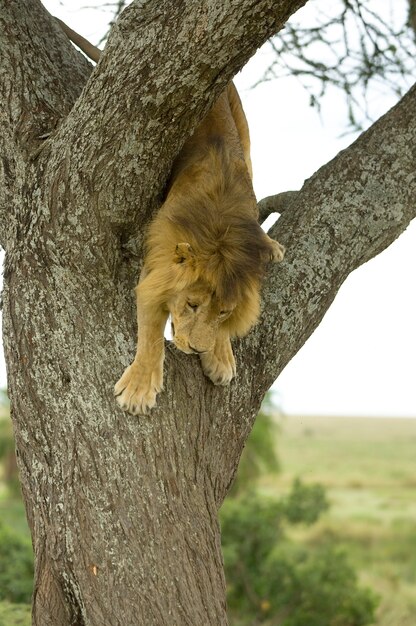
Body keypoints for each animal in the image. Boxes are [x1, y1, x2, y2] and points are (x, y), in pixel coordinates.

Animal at [57, 18, 284, 414]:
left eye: (223, 313)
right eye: (192, 304)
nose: (196, 349)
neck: (220, 235)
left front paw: (220, 356)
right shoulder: (155, 265)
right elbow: (150, 333)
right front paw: (139, 389)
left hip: (243, 127)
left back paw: (269, 244)